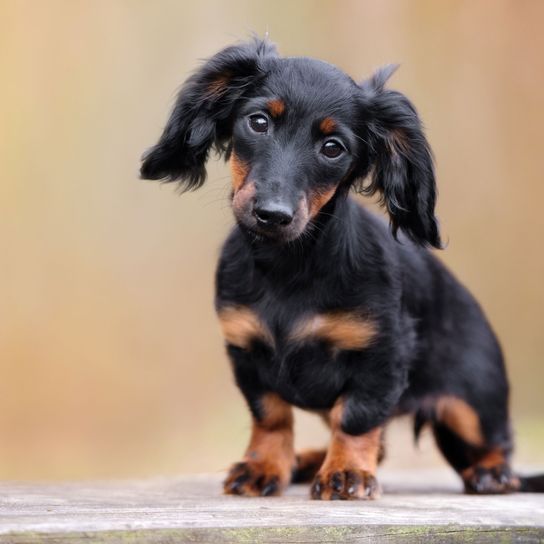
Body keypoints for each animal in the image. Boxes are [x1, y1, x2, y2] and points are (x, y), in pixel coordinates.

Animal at [141, 37, 544, 498]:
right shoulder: (245, 350)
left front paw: (347, 472)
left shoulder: (380, 357)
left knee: (494, 445)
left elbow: (355, 418)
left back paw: (492, 473)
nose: (272, 215)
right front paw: (264, 466)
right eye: (258, 122)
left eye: (333, 147)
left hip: (473, 404)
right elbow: (271, 416)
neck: (291, 266)